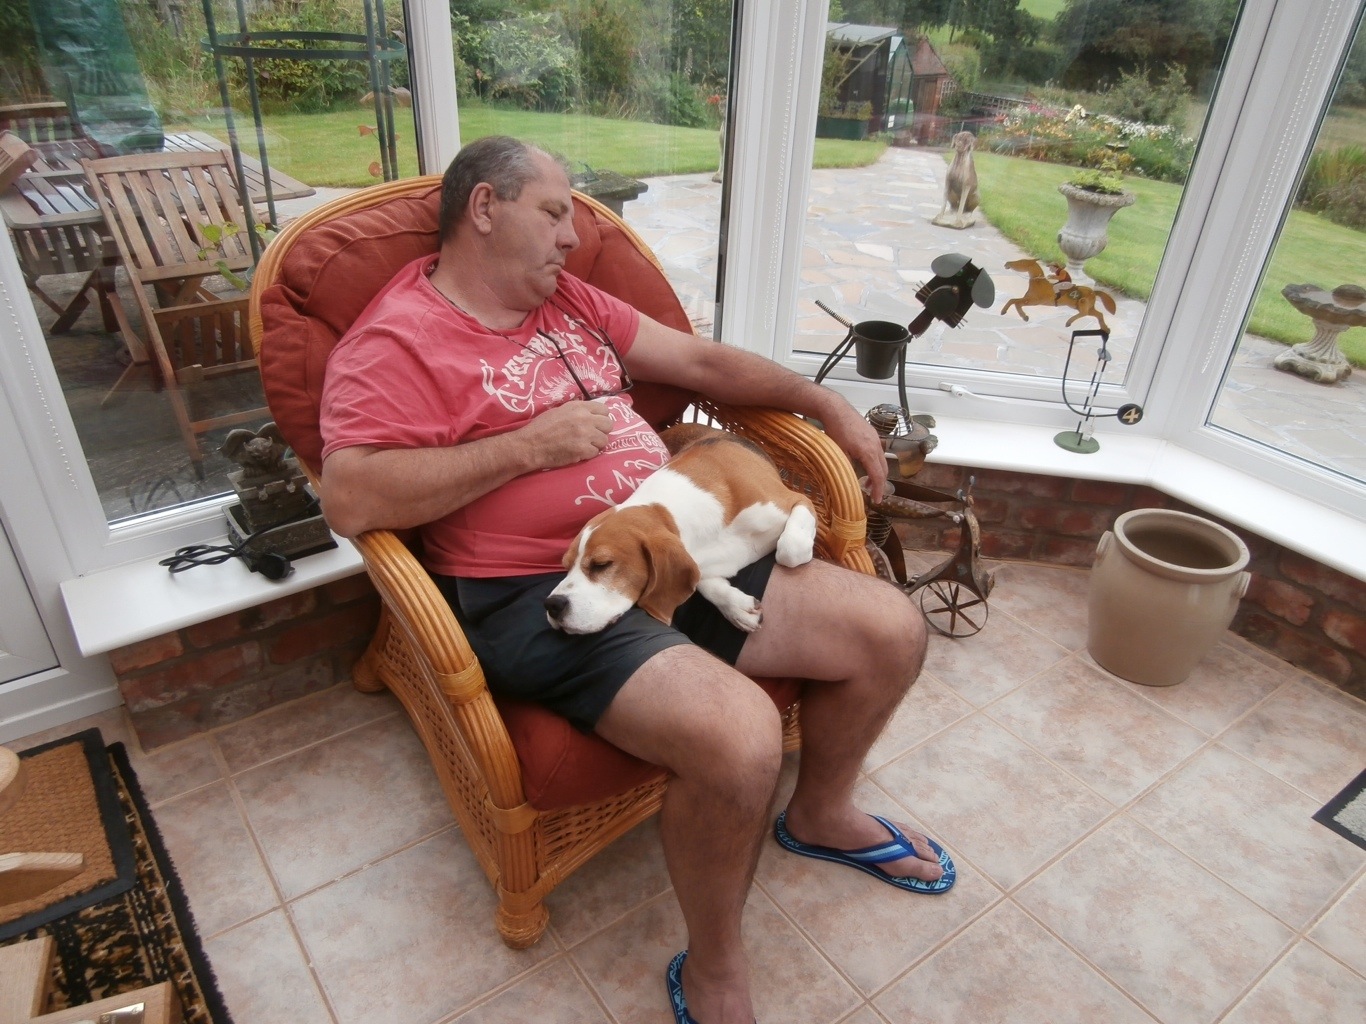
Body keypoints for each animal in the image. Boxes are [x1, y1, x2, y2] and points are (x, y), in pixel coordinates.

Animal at [544, 424, 817, 634]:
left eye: (601, 565)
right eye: (565, 566)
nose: (551, 605)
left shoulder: (798, 500)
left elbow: (789, 550)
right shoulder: (699, 561)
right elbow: (703, 582)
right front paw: (737, 607)